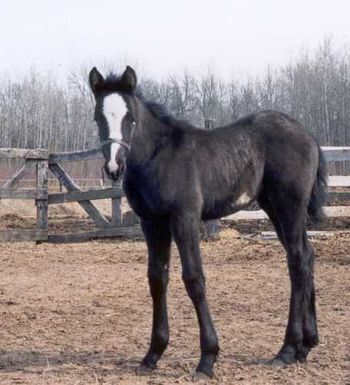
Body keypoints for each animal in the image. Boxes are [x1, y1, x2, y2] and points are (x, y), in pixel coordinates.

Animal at [89, 66, 326, 378]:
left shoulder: (185, 218)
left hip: (290, 205)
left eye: (131, 118)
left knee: (298, 260)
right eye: (98, 118)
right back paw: (306, 345)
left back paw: (286, 349)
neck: (158, 157)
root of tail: (308, 134)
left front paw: (207, 358)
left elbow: (194, 278)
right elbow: (157, 278)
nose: (114, 167)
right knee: (306, 255)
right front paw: (152, 354)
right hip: (273, 207)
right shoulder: (152, 224)